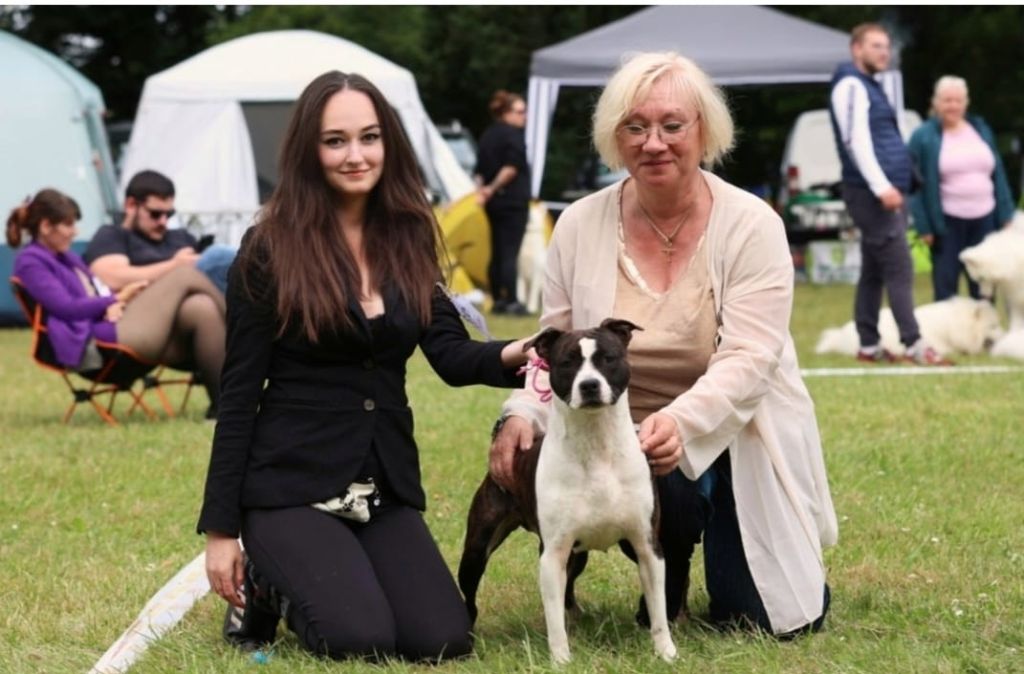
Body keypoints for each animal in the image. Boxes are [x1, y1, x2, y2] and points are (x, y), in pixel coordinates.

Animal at [459, 319, 677, 664]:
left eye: (608, 359)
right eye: (567, 363)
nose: (589, 385)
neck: (596, 443)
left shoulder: (647, 546)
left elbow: (658, 609)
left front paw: (666, 652)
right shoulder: (553, 554)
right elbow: (553, 619)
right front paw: (561, 660)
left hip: (578, 553)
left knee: (569, 588)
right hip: (478, 547)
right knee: (470, 591)